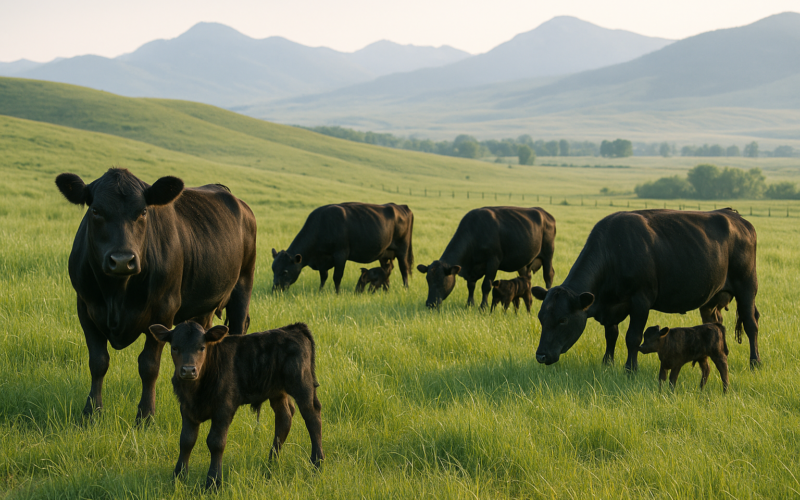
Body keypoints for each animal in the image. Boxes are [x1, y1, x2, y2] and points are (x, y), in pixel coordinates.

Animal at [54, 168, 257, 422]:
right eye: (95, 210)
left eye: (142, 211)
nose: (122, 260)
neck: (116, 293)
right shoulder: (85, 307)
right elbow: (98, 361)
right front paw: (91, 412)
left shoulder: (163, 310)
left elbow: (149, 366)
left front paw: (145, 415)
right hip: (205, 305)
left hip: (243, 285)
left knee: (239, 329)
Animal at [149, 321, 324, 489]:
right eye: (174, 347)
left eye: (202, 347)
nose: (188, 370)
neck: (195, 390)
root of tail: (294, 328)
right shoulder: (186, 408)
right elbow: (186, 441)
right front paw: (178, 478)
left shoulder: (224, 408)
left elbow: (216, 442)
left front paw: (213, 483)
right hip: (277, 391)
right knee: (284, 418)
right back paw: (271, 463)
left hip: (302, 384)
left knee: (312, 417)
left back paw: (317, 464)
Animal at [272, 203, 413, 293]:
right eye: (273, 269)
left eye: (285, 271)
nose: (274, 290)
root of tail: (401, 206)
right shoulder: (323, 260)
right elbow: (323, 277)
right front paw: (320, 291)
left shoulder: (340, 255)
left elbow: (337, 276)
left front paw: (337, 293)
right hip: (384, 254)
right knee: (386, 270)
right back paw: (385, 290)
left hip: (402, 250)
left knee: (404, 269)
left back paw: (406, 289)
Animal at [416, 206, 556, 309]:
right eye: (428, 280)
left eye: (440, 280)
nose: (430, 304)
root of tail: (546, 213)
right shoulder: (472, 269)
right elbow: (471, 285)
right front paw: (469, 305)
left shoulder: (493, 261)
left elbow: (486, 285)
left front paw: (483, 307)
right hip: (525, 263)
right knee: (526, 279)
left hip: (548, 254)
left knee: (548, 275)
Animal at [532, 208, 759, 372]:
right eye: (541, 318)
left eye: (563, 320)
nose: (541, 355)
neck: (613, 251)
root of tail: (736, 217)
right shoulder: (611, 305)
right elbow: (611, 335)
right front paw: (607, 363)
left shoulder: (641, 300)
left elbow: (633, 337)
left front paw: (630, 369)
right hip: (710, 299)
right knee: (715, 325)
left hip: (747, 287)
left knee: (751, 324)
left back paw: (755, 362)